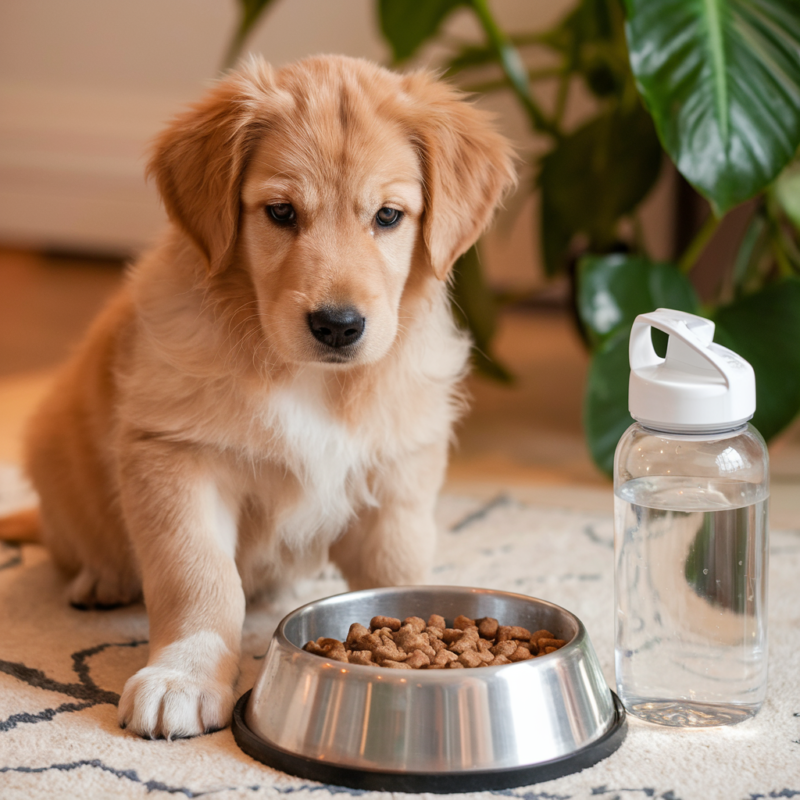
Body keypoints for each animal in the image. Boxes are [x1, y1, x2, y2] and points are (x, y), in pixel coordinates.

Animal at [0, 56, 516, 740]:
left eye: (387, 216)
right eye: (280, 212)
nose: (338, 326)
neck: (310, 378)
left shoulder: (400, 469)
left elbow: (396, 566)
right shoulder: (175, 457)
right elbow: (199, 577)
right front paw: (185, 674)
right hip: (55, 456)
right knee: (77, 542)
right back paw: (102, 575)